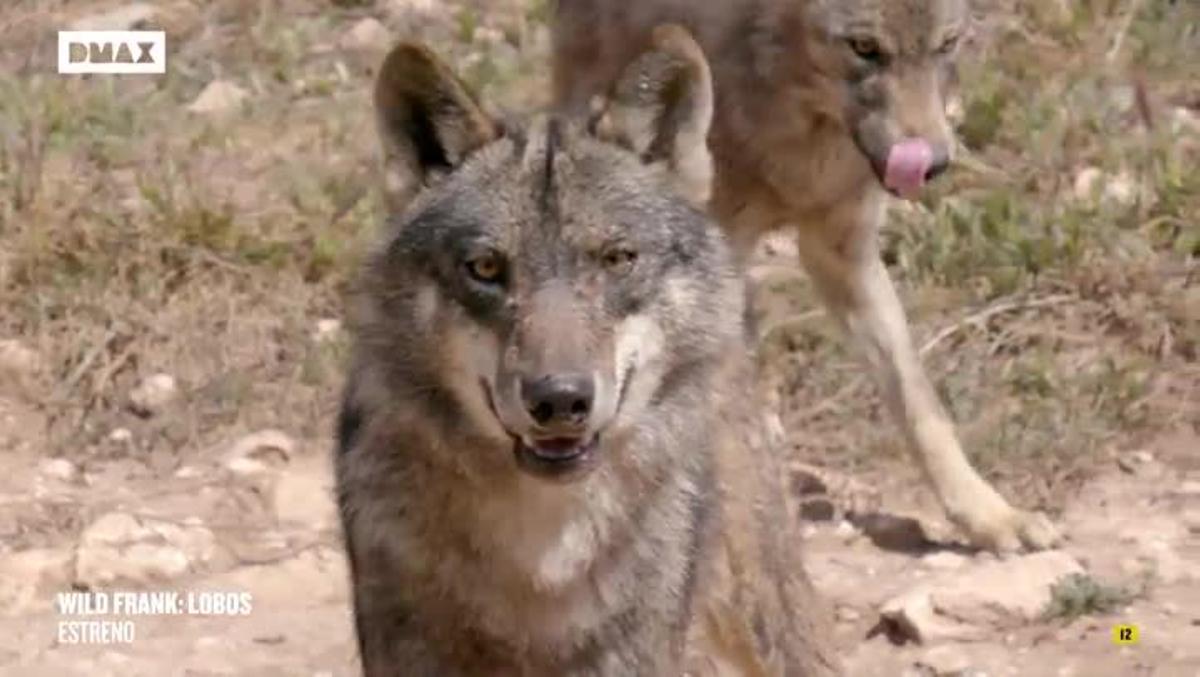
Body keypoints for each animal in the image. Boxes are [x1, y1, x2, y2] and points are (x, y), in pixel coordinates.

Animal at [551, 0, 1060, 553]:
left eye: (946, 45)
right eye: (865, 48)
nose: (932, 163)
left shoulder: (843, 251)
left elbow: (918, 402)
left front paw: (990, 514)